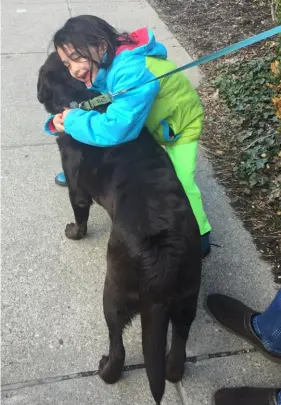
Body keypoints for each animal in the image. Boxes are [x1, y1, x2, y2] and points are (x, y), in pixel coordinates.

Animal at [37, 52, 200, 402]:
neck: (82, 100)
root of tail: (162, 256)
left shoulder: (77, 190)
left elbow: (80, 215)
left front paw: (74, 233)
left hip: (113, 292)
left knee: (118, 345)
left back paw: (107, 372)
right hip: (187, 298)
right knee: (179, 345)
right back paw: (173, 370)